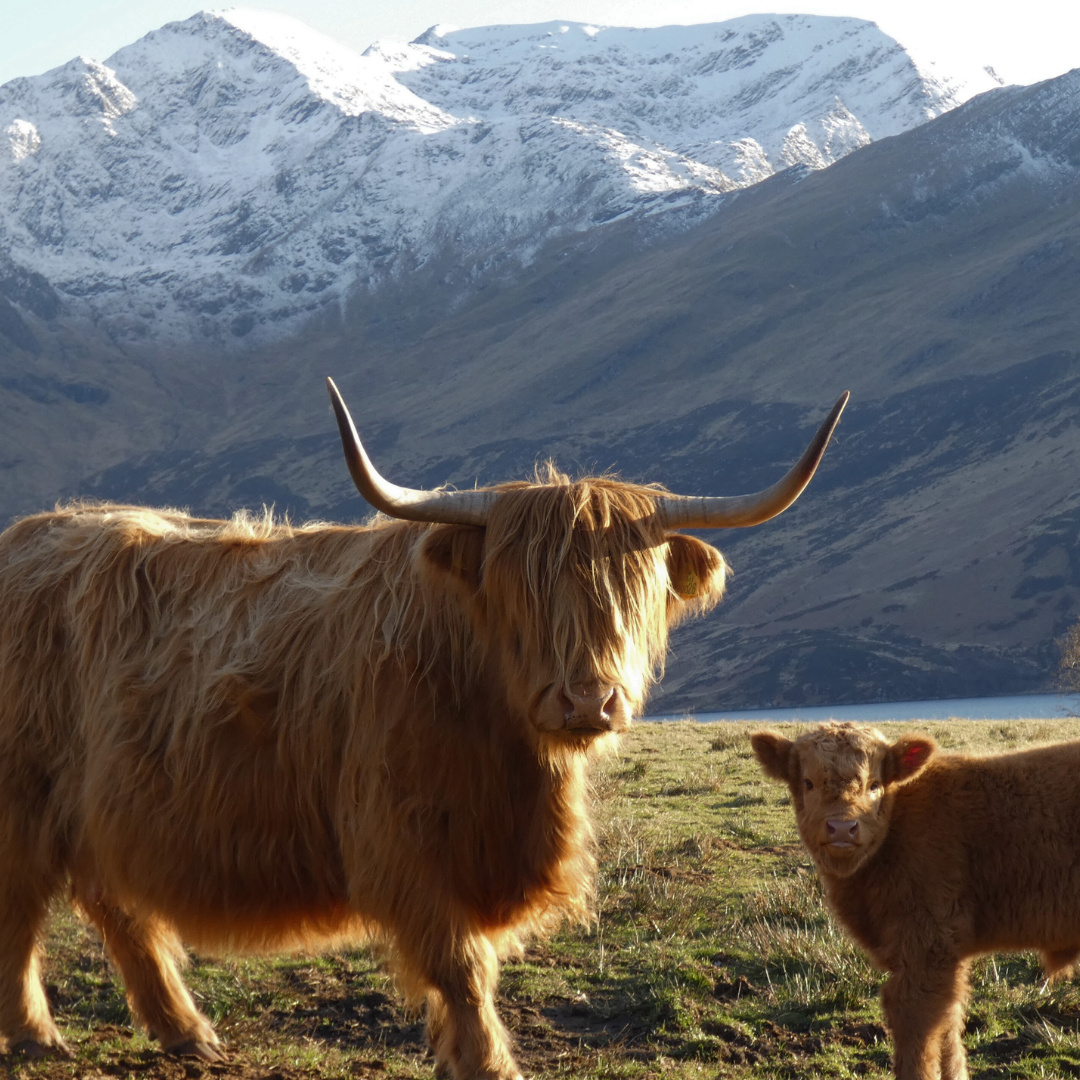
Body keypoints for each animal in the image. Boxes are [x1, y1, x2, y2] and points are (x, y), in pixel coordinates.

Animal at [0, 379, 845, 1078]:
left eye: (633, 587)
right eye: (518, 589)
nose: (588, 702)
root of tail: (32, 534)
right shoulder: (402, 838)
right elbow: (460, 966)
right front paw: (487, 1064)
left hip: (98, 804)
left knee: (117, 904)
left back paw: (186, 1032)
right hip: (22, 800)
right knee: (24, 908)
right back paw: (38, 1036)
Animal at [752, 721, 1080, 1080]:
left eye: (875, 784)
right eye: (808, 783)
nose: (841, 828)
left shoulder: (927, 947)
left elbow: (918, 1029)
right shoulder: (943, 956)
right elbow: (948, 1025)